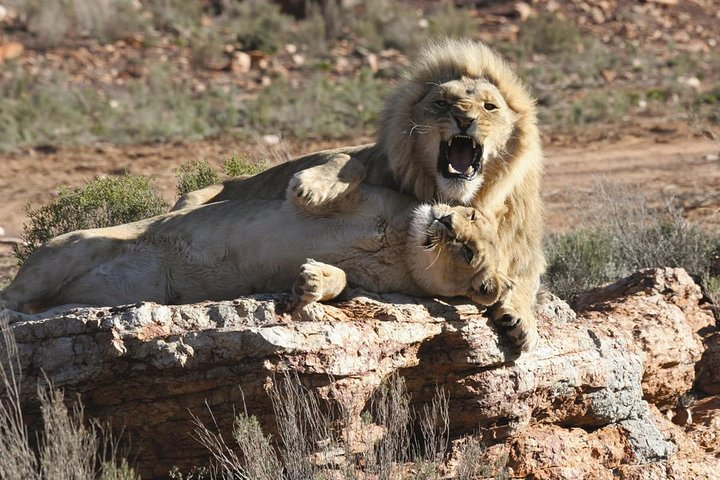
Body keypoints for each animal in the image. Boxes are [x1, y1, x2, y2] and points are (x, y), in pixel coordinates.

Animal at [0, 182, 513, 337]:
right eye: (470, 214)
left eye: (469, 251)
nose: (445, 221)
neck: (402, 244)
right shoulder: (368, 195)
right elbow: (340, 179)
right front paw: (311, 190)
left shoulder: (369, 285)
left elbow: (339, 281)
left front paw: (309, 283)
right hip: (69, 248)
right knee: (11, 298)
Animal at [171, 39, 545, 351]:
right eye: (442, 102)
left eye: (489, 106)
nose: (464, 118)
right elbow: (349, 161)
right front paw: (312, 187)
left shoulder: (520, 241)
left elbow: (525, 276)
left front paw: (519, 322)